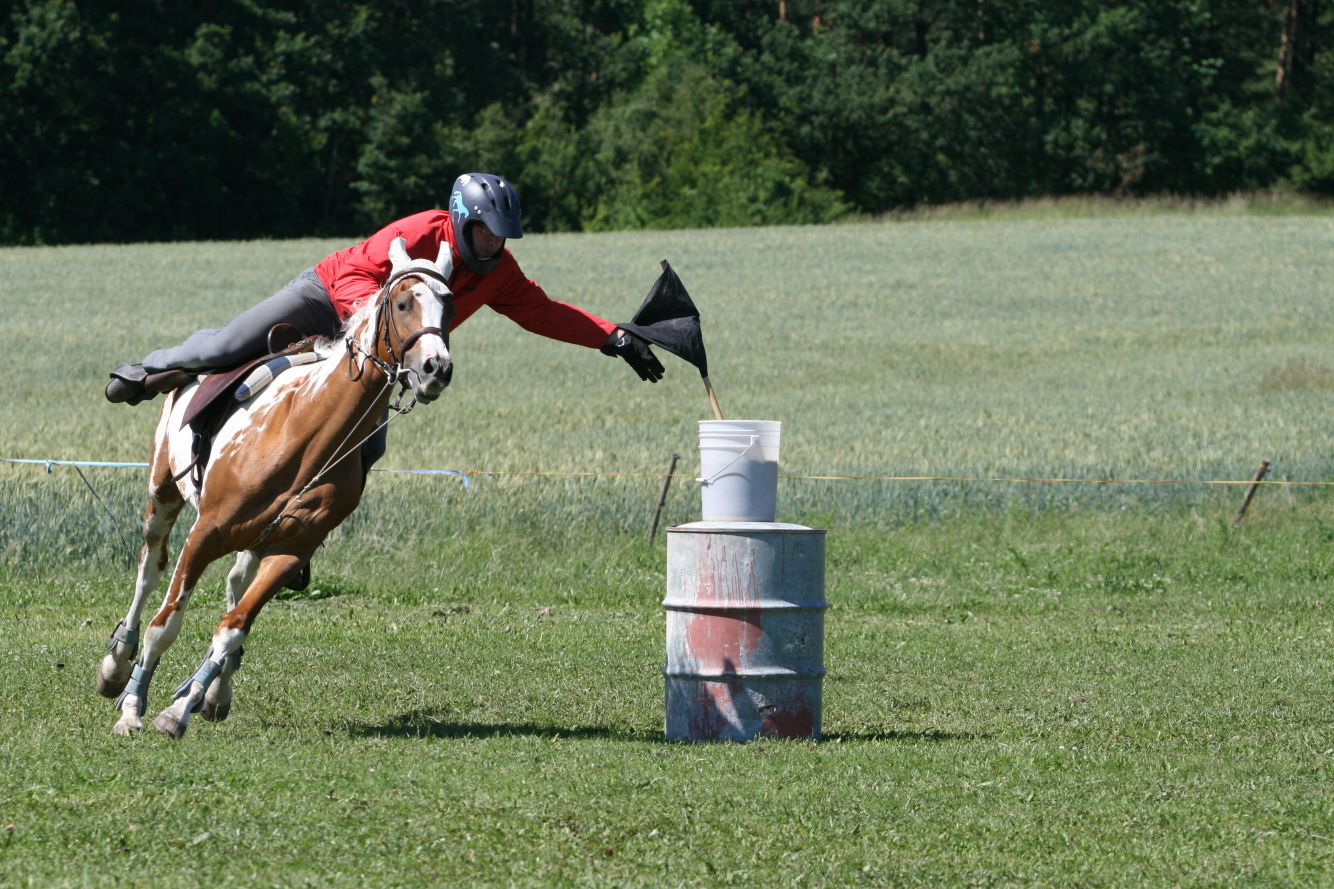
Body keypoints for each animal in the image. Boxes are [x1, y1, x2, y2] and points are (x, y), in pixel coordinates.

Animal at [96, 234, 456, 731]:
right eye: (403, 303)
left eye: (449, 307)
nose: (436, 368)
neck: (303, 429)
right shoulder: (204, 533)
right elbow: (164, 625)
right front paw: (133, 708)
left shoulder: (289, 552)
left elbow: (232, 629)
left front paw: (180, 709)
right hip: (162, 494)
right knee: (149, 571)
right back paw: (118, 663)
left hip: (254, 541)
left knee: (234, 586)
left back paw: (211, 691)